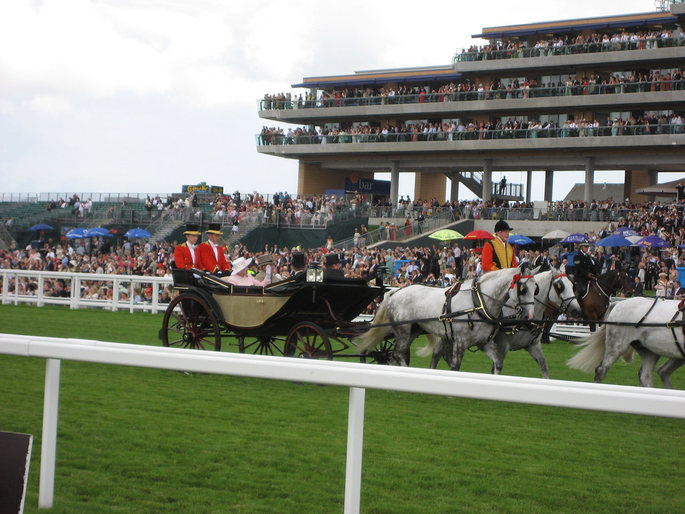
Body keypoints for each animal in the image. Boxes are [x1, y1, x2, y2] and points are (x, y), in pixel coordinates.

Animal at [356, 264, 536, 368]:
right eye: (524, 289)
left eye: (536, 289)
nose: (531, 315)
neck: (478, 302)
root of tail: (396, 292)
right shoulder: (460, 341)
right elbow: (455, 366)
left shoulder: (483, 342)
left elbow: (498, 363)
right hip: (403, 330)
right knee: (398, 354)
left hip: (413, 330)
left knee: (395, 355)